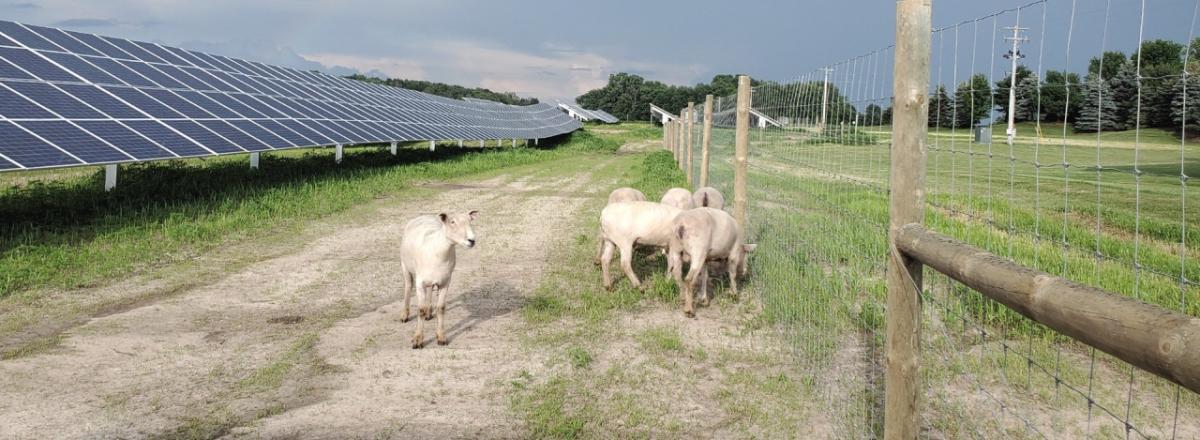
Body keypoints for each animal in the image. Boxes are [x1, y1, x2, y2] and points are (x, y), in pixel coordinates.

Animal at [400, 212, 480, 350]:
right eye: (452, 222)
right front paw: (417, 340)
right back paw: (405, 315)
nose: (471, 240)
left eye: (470, 221)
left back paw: (429, 313)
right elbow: (420, 310)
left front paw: (441, 337)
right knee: (408, 287)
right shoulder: (420, 283)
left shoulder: (445, 281)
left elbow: (441, 308)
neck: (438, 251)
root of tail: (423, 216)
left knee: (430, 289)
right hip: (405, 266)